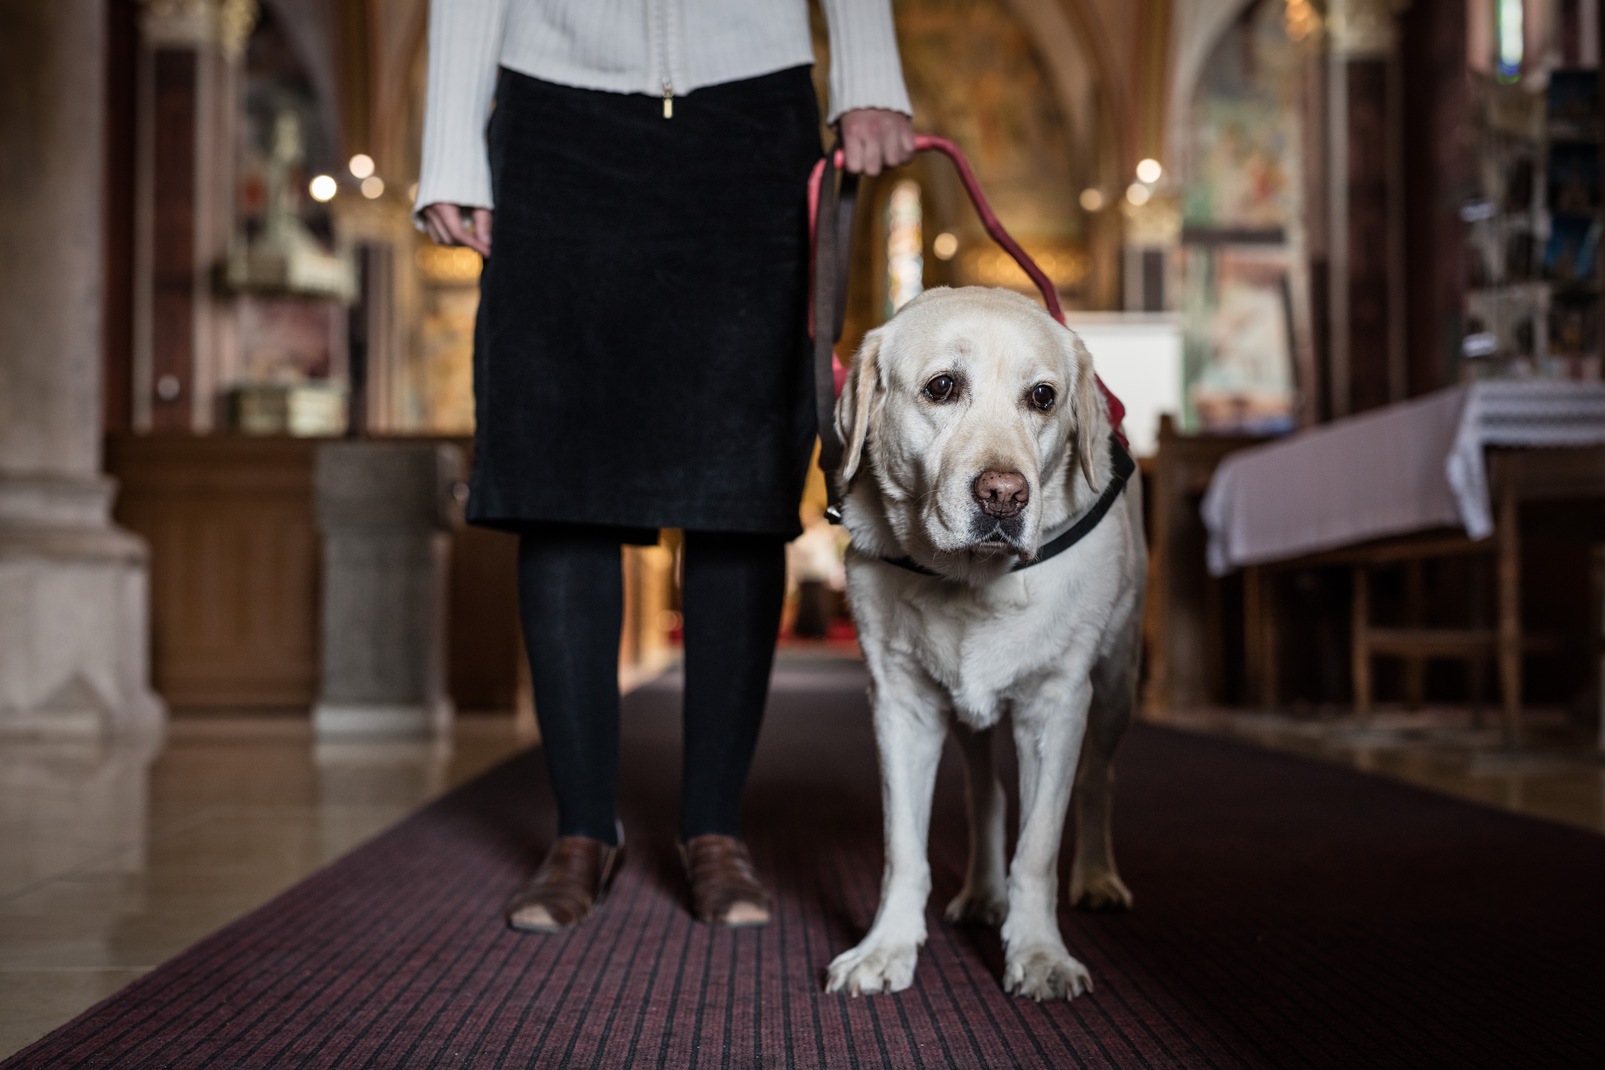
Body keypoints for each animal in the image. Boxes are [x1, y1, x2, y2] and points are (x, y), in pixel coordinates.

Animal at [828, 287, 1142, 1007]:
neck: (970, 578)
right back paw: (980, 892)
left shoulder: (1056, 706)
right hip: (966, 715)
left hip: (1116, 682)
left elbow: (1037, 849)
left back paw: (1096, 877)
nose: (1004, 495)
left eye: (1043, 397)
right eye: (942, 387)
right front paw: (886, 947)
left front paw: (1039, 954)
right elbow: (903, 848)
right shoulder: (901, 705)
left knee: (1098, 778)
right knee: (985, 792)